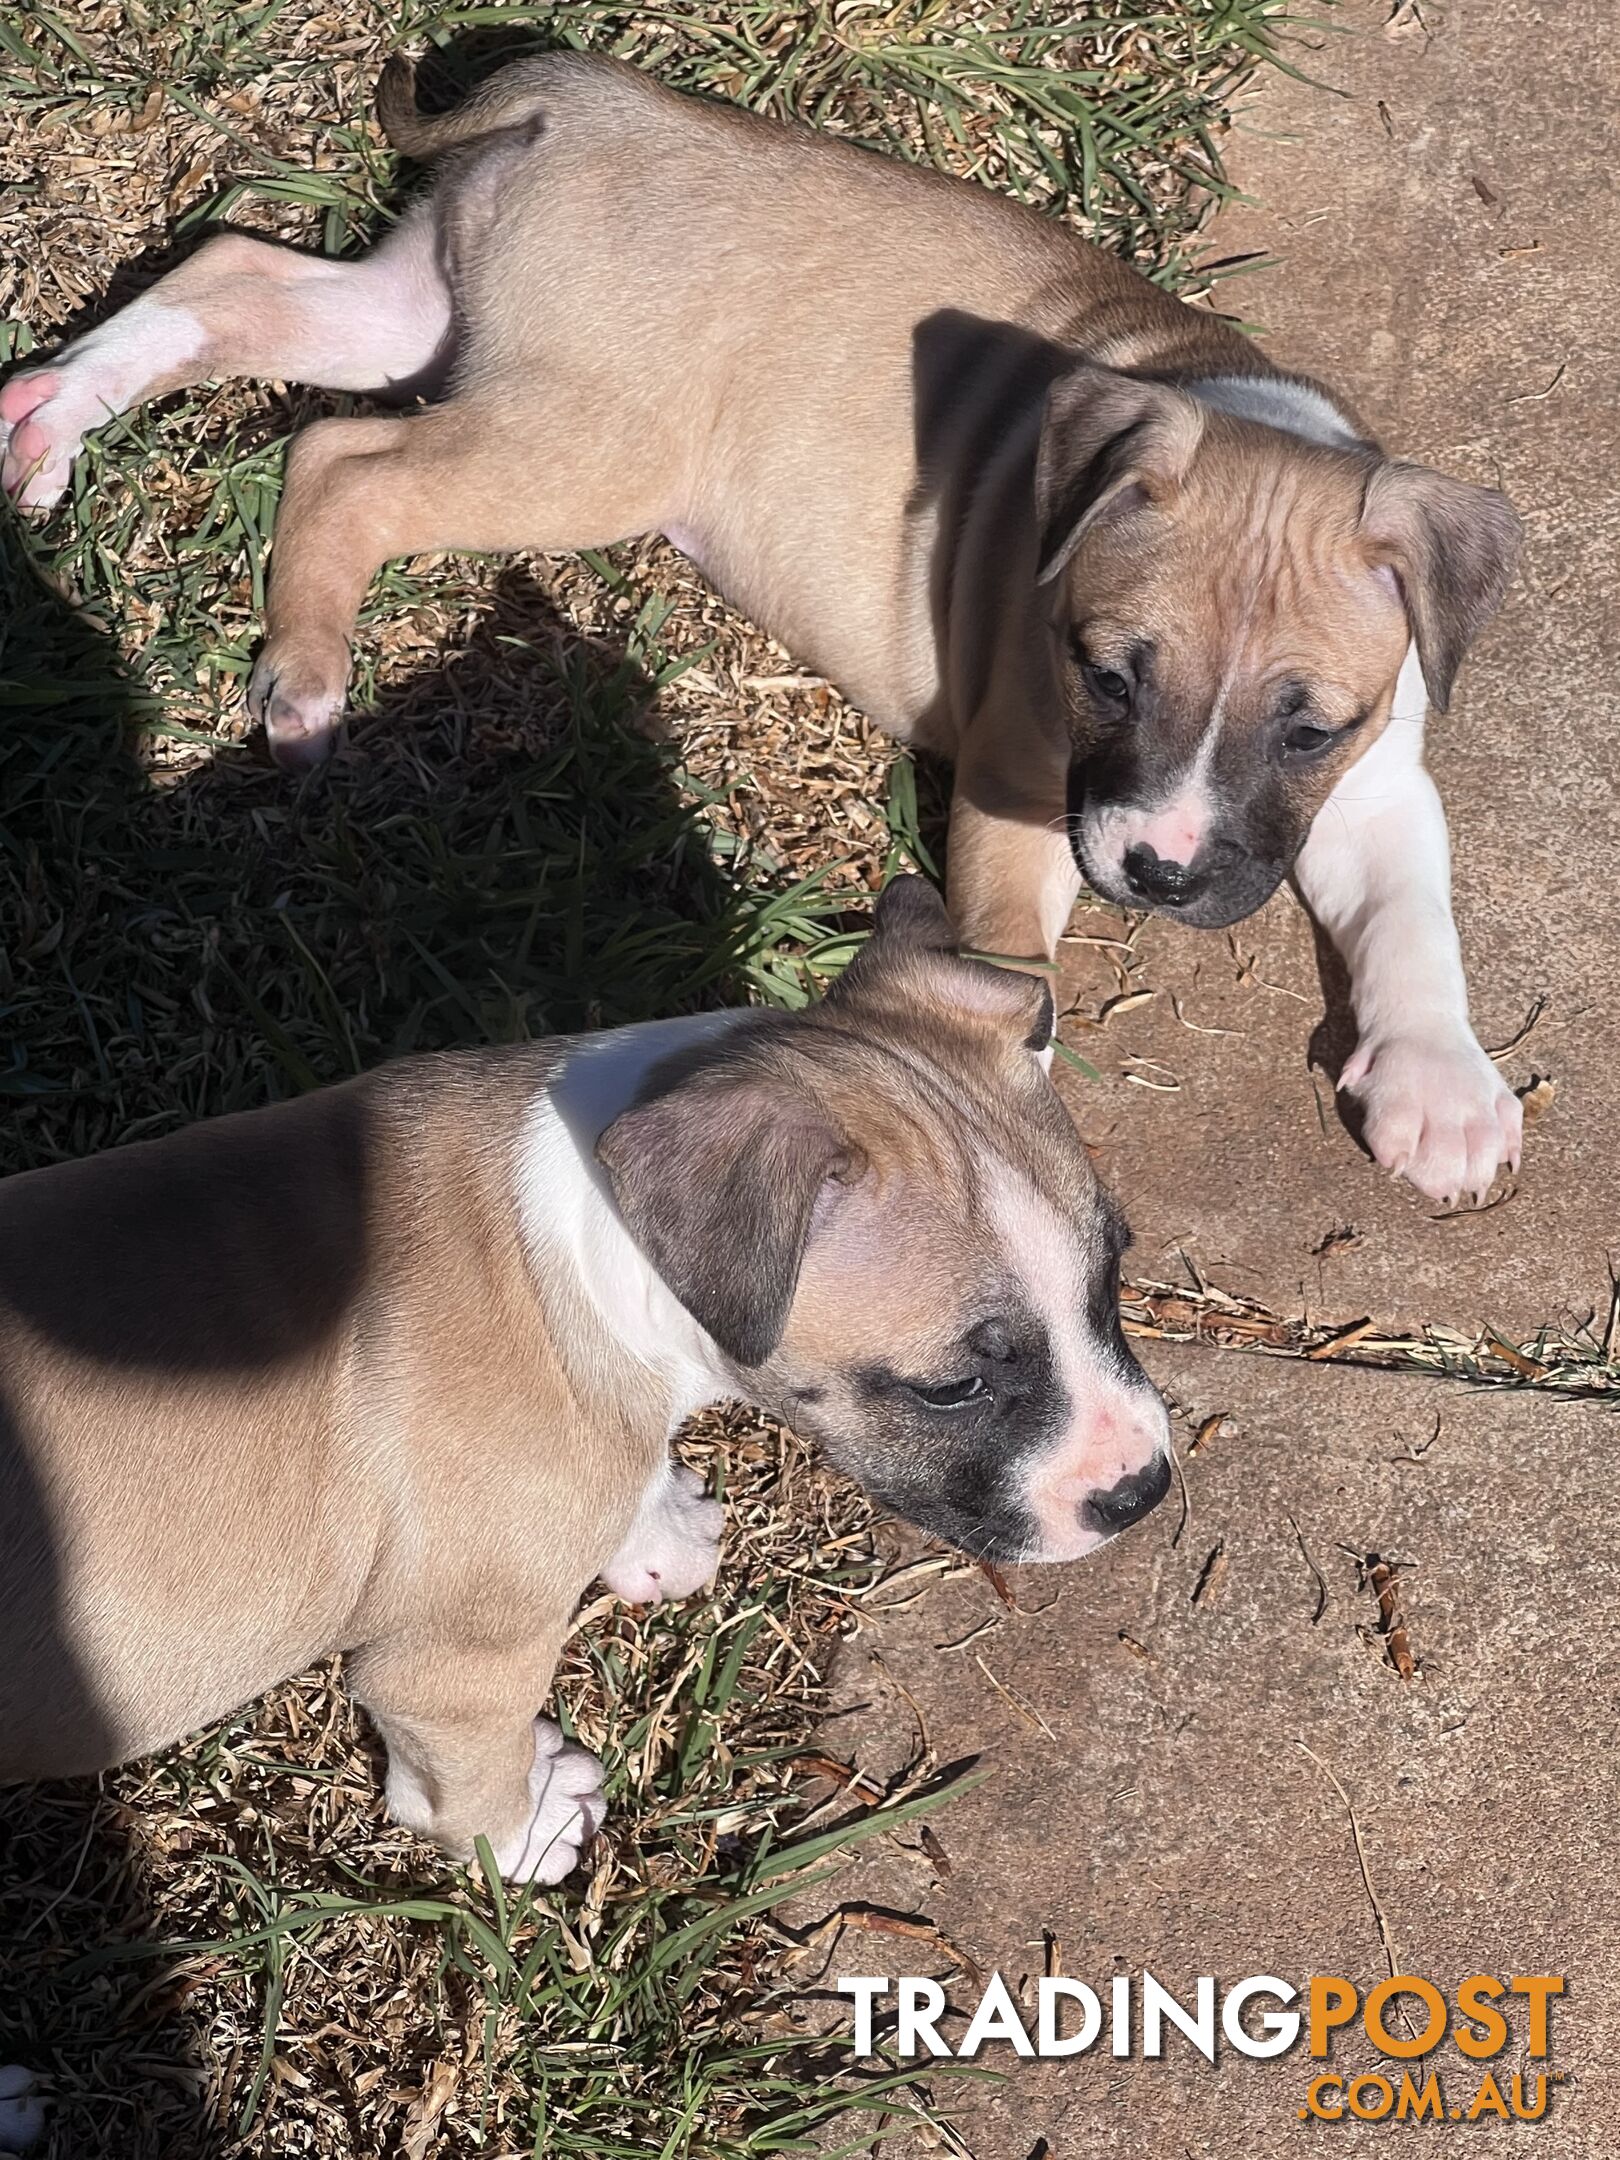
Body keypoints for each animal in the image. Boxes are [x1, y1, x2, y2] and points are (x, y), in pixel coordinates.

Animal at [0, 50, 1520, 1209]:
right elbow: (1008, 972)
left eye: (1310, 728)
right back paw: (306, 677)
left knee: (235, 278)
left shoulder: (1379, 773)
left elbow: (1411, 908)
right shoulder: (1020, 789)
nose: (1159, 873)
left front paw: (1443, 1091)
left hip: (426, 309)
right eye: (1104, 677)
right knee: (336, 465)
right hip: (585, 444)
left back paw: (50, 416)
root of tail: (577, 97)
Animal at [0, 885, 1166, 1883]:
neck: (580, 1245)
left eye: (1113, 1275)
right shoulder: (447, 1665)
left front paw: (654, 1527)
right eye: (953, 1388)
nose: (1143, 1491)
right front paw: (525, 1834)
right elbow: (458, 1780)